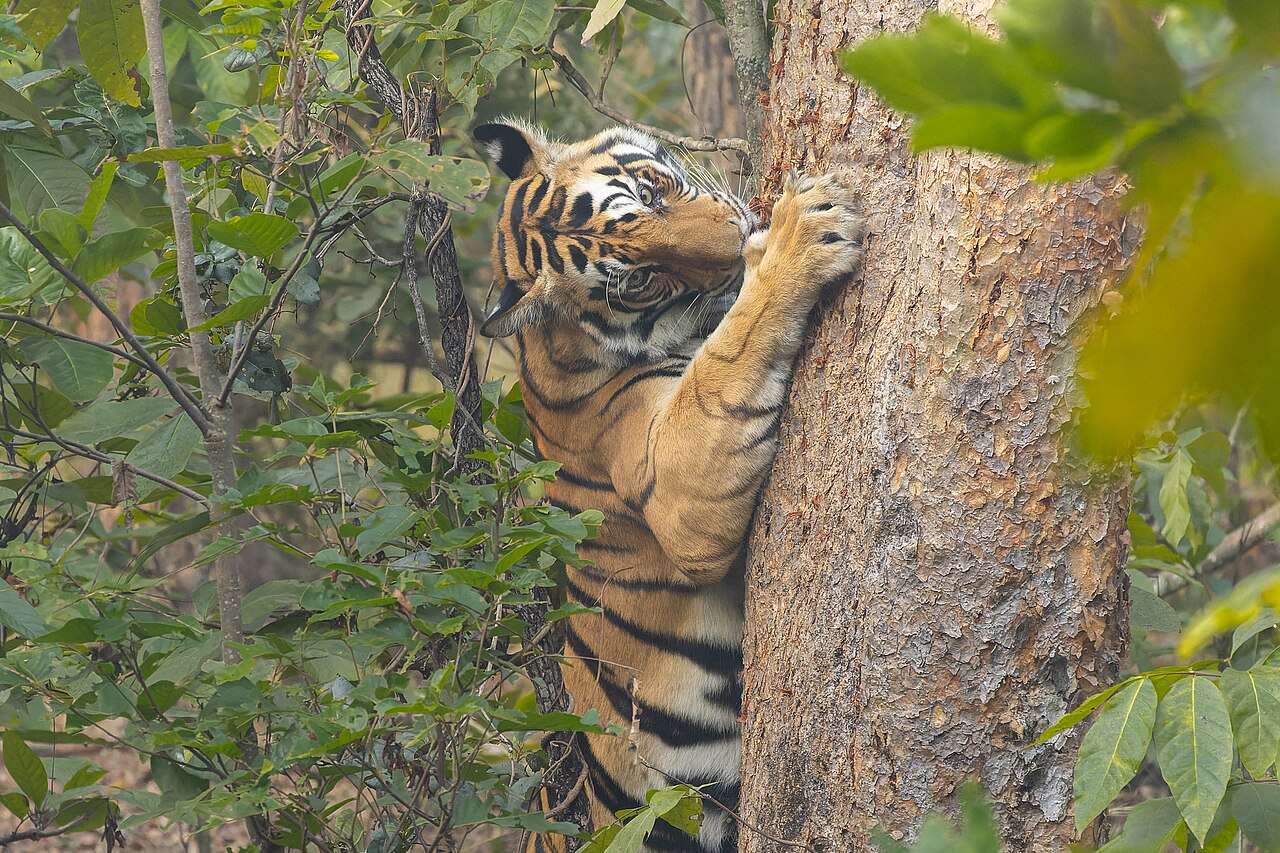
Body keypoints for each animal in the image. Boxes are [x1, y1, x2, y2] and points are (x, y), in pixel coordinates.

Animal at [474, 119, 863, 853]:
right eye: (642, 282)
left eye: (653, 190)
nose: (735, 241)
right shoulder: (676, 484)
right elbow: (730, 353)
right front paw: (798, 237)